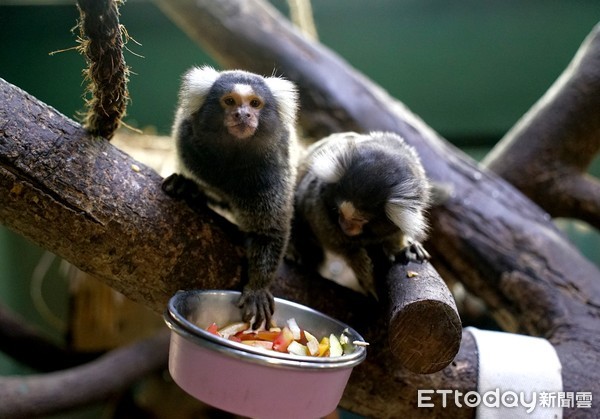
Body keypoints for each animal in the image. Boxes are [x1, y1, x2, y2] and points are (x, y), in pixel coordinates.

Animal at [163, 65, 298, 330]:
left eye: (255, 103)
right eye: (230, 101)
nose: (242, 115)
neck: (233, 162)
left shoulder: (272, 174)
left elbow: (269, 231)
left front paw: (257, 288)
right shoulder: (189, 148)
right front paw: (188, 186)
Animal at [290, 131, 432, 298]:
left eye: (359, 220)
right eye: (339, 212)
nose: (344, 225)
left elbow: (397, 234)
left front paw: (402, 248)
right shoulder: (316, 202)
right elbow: (332, 239)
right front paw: (359, 263)